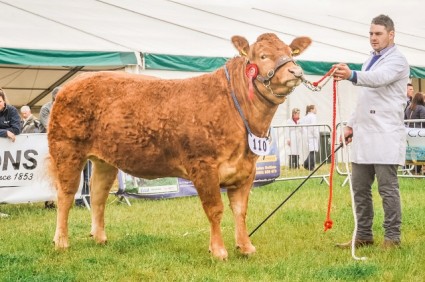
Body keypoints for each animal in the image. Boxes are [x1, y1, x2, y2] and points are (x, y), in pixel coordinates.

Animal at [48, 33, 312, 260]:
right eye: (263, 55)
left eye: (290, 52)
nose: (295, 71)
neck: (235, 107)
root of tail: (72, 84)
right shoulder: (204, 166)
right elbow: (215, 209)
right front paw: (218, 250)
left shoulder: (246, 169)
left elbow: (240, 210)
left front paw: (245, 246)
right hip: (66, 150)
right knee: (66, 195)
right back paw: (61, 241)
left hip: (105, 161)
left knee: (98, 194)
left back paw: (99, 237)